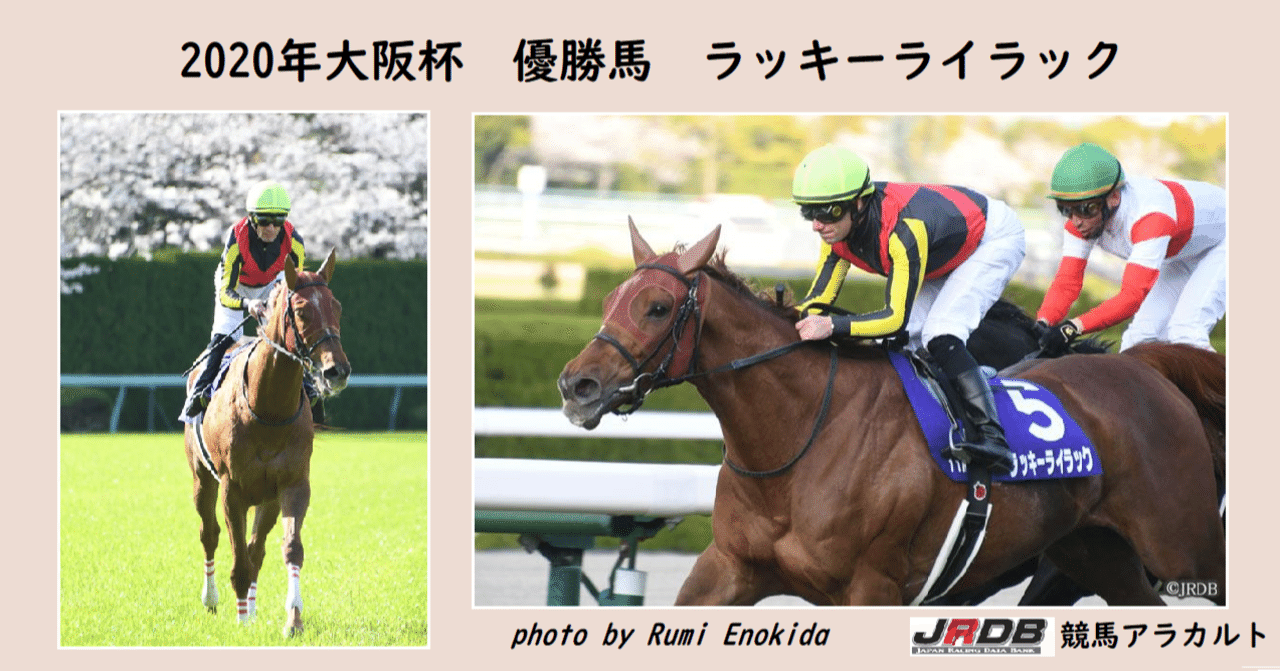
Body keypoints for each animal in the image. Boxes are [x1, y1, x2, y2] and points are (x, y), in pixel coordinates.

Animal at [183, 250, 350, 636]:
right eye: (301, 310)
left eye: (336, 306)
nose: (336, 371)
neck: (268, 410)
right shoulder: (232, 489)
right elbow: (237, 558)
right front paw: (242, 619)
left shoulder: (292, 485)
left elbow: (289, 548)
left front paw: (294, 619)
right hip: (201, 479)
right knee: (209, 534)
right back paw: (212, 600)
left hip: (266, 499)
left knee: (256, 549)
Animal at [558, 221, 1225, 606]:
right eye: (609, 299)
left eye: (658, 307)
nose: (576, 385)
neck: (800, 439)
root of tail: (1144, 366)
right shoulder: (727, 571)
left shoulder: (873, 585)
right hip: (1093, 552)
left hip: (1181, 544)